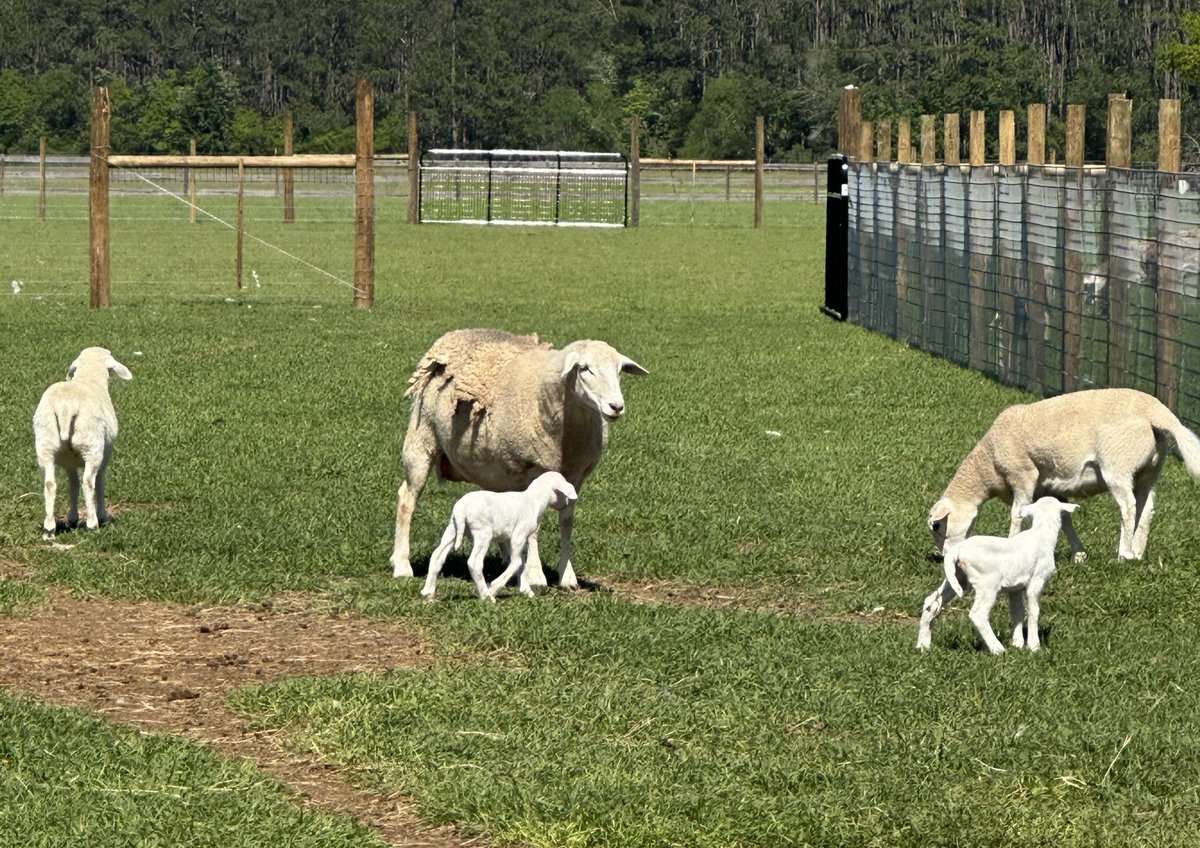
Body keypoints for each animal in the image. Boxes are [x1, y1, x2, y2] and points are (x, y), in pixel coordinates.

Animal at [33, 347, 133, 539]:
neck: (89, 377)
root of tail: (65, 407)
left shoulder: (68, 463)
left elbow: (73, 484)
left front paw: (72, 518)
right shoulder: (105, 455)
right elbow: (99, 482)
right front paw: (102, 516)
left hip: (46, 445)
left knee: (50, 484)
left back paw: (49, 529)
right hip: (92, 446)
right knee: (89, 482)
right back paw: (93, 524)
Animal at [389, 328, 647, 589]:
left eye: (619, 370)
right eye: (584, 368)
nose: (616, 406)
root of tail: (453, 335)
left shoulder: (575, 477)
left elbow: (566, 523)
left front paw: (567, 576)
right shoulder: (532, 469)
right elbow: (534, 527)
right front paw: (535, 575)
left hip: (495, 469)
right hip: (422, 438)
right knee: (407, 498)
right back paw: (401, 564)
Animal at [421, 471, 579, 602]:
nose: (566, 505)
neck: (534, 500)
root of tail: (461, 510)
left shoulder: (510, 539)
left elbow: (521, 561)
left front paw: (526, 590)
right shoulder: (519, 534)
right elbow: (517, 562)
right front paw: (494, 588)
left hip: (452, 529)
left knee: (437, 556)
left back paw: (427, 593)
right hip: (482, 533)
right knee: (474, 563)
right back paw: (486, 596)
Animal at [917, 496, 1079, 654]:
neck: (1042, 533)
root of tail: (956, 552)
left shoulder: (1015, 588)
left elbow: (1017, 612)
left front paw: (1018, 644)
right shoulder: (1037, 580)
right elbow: (1034, 611)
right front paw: (1034, 647)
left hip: (957, 579)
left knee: (931, 602)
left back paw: (923, 646)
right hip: (986, 583)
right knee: (978, 614)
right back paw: (998, 650)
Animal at [928, 388, 1200, 563]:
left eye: (937, 526)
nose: (945, 558)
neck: (987, 463)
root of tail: (1157, 411)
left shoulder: (1023, 476)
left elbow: (1017, 515)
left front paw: (1011, 544)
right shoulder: (1050, 489)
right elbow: (1065, 518)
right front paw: (1079, 555)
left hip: (1118, 464)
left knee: (1128, 506)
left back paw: (1123, 555)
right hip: (1150, 469)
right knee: (1147, 508)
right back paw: (1138, 553)